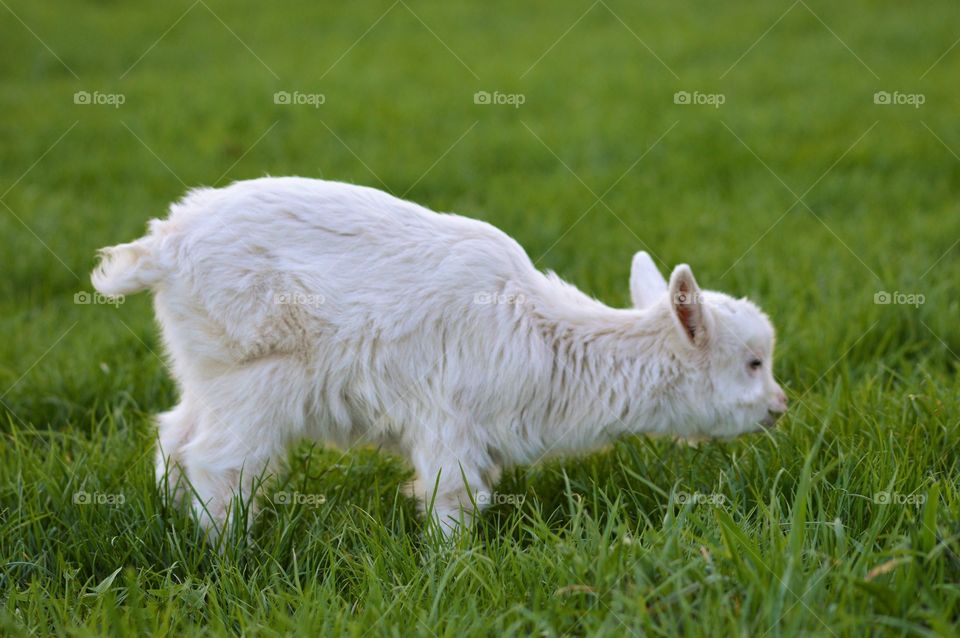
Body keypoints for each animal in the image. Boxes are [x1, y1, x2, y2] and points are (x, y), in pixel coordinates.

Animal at [92, 178, 788, 536]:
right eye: (754, 362)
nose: (782, 406)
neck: (551, 344)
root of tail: (164, 245)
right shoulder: (451, 418)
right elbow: (453, 498)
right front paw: (454, 566)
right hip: (259, 378)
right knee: (218, 461)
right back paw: (225, 551)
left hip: (206, 368)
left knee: (174, 436)